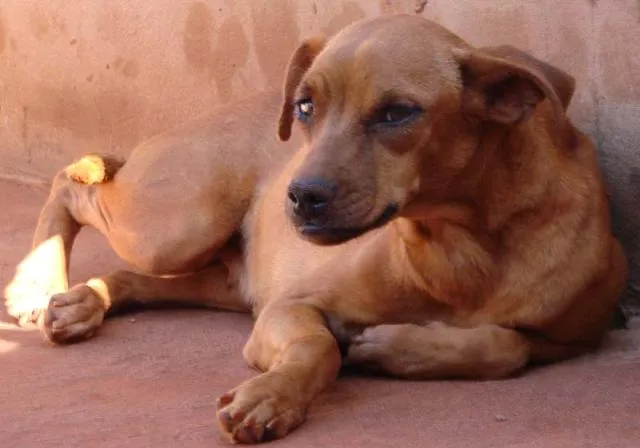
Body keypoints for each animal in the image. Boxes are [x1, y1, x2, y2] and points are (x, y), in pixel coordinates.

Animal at [3, 14, 624, 444]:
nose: (299, 196)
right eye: (305, 106)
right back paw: (37, 284)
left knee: (134, 277)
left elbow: (507, 345)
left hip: (222, 279)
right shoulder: (290, 308)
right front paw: (273, 396)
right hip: (177, 224)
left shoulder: (574, 336)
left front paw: (393, 346)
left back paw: (81, 301)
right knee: (72, 183)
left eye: (398, 112)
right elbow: (319, 346)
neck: (457, 246)